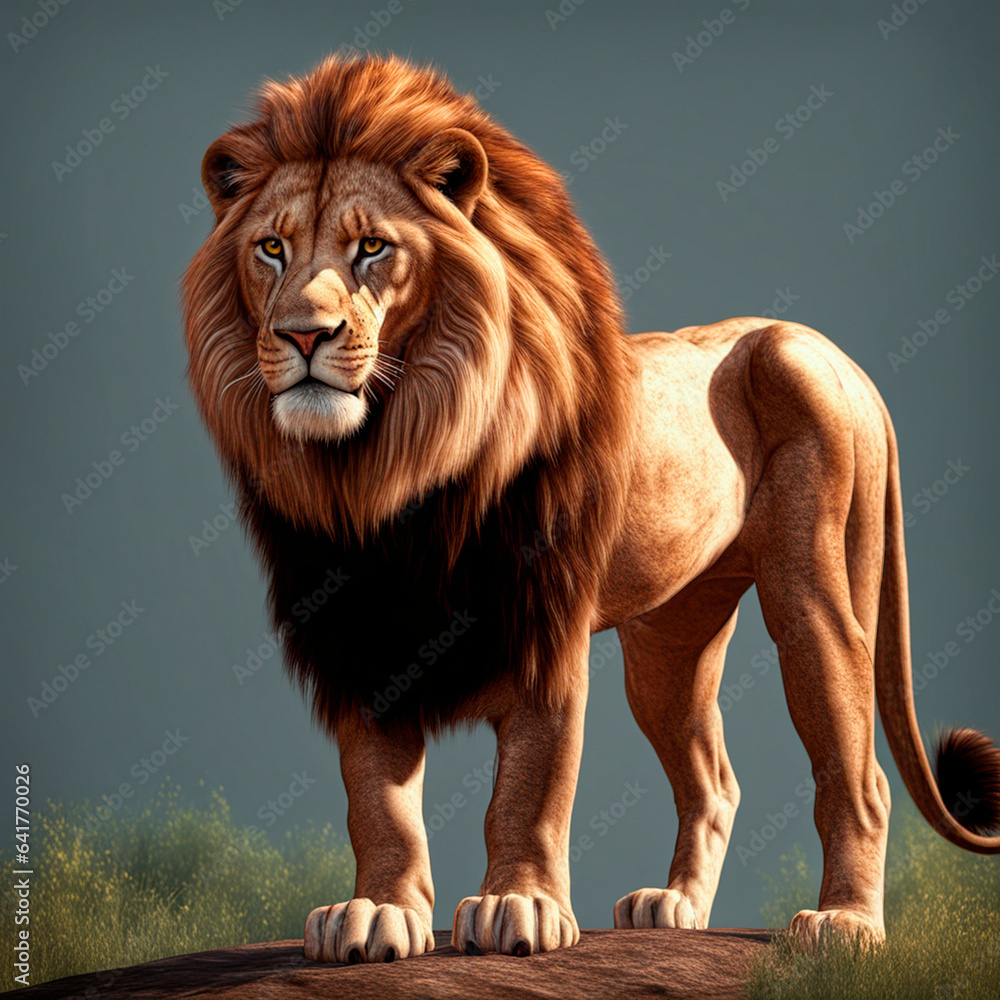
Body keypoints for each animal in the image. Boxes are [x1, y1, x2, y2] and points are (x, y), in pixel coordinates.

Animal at [182, 54, 1000, 962]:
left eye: (372, 248)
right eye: (271, 248)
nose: (302, 335)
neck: (388, 465)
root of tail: (841, 357)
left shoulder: (544, 621)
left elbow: (532, 782)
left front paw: (519, 906)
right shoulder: (356, 627)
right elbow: (376, 796)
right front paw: (377, 911)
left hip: (813, 583)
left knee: (858, 772)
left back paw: (847, 924)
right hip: (670, 643)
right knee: (714, 779)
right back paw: (675, 906)